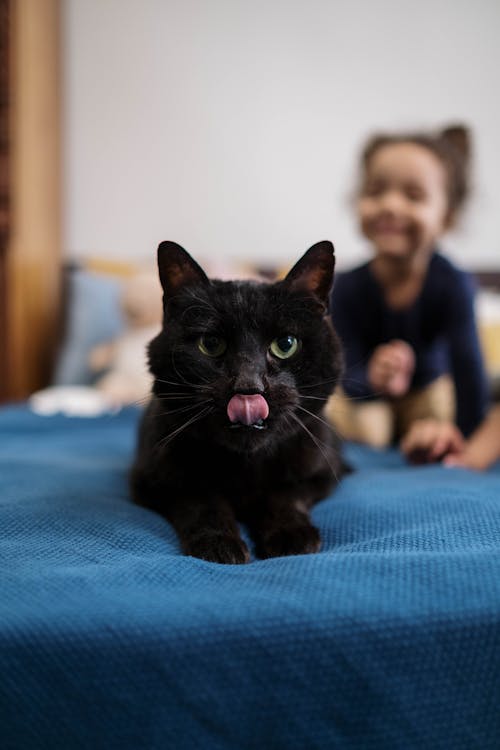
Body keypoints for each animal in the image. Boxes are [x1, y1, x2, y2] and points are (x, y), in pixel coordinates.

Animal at [131, 241, 346, 564]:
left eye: (286, 344)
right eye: (210, 344)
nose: (248, 388)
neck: (246, 466)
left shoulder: (320, 473)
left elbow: (286, 495)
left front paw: (290, 536)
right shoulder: (151, 479)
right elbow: (201, 498)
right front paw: (218, 543)